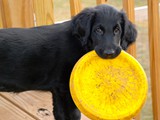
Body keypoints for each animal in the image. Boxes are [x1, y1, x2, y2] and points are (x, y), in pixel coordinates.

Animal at [0, 4, 137, 119]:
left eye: (117, 30)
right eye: (98, 30)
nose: (110, 53)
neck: (78, 41)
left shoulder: (58, 90)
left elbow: (60, 113)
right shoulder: (66, 89)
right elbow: (73, 114)